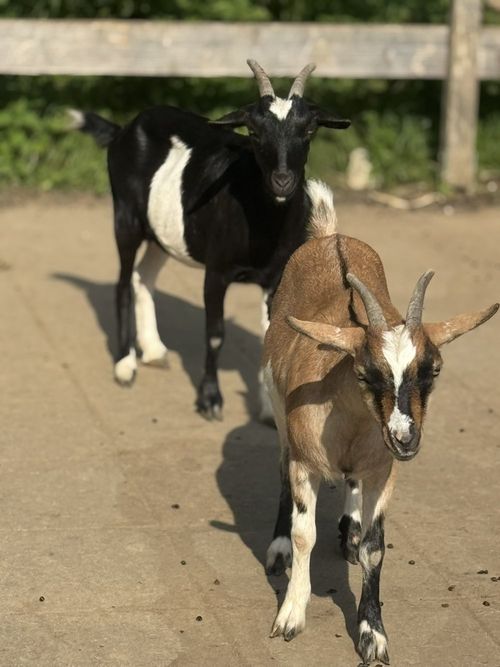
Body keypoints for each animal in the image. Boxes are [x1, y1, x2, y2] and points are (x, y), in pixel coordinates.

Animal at [71, 60, 350, 420]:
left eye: (309, 130)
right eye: (254, 132)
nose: (282, 181)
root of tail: (124, 130)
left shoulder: (275, 278)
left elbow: (269, 335)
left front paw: (266, 411)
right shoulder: (217, 272)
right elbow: (215, 334)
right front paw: (209, 399)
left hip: (163, 233)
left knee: (143, 276)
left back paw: (154, 350)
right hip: (126, 217)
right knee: (122, 282)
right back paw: (125, 365)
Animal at [263, 180, 498, 664]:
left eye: (433, 370)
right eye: (365, 373)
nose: (405, 438)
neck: (349, 423)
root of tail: (331, 236)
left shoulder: (382, 472)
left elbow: (376, 548)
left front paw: (373, 635)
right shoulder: (305, 465)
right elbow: (303, 534)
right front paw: (291, 616)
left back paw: (350, 529)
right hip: (279, 418)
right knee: (279, 470)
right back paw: (277, 550)